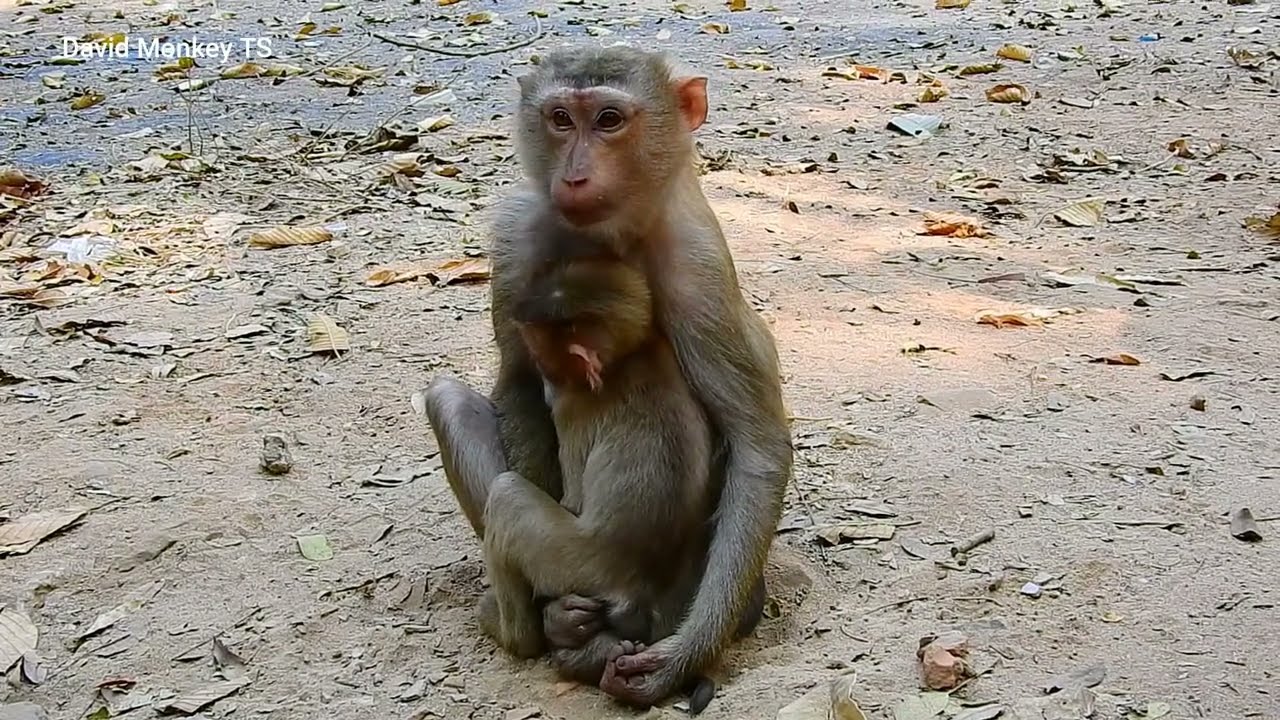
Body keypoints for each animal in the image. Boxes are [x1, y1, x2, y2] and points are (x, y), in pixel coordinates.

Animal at [422, 46, 792, 709]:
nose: (573, 175)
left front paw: (681, 657)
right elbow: (518, 383)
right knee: (451, 404)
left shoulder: (699, 269)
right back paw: (563, 626)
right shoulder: (518, 237)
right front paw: (558, 614)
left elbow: (757, 447)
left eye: (610, 120)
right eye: (561, 119)